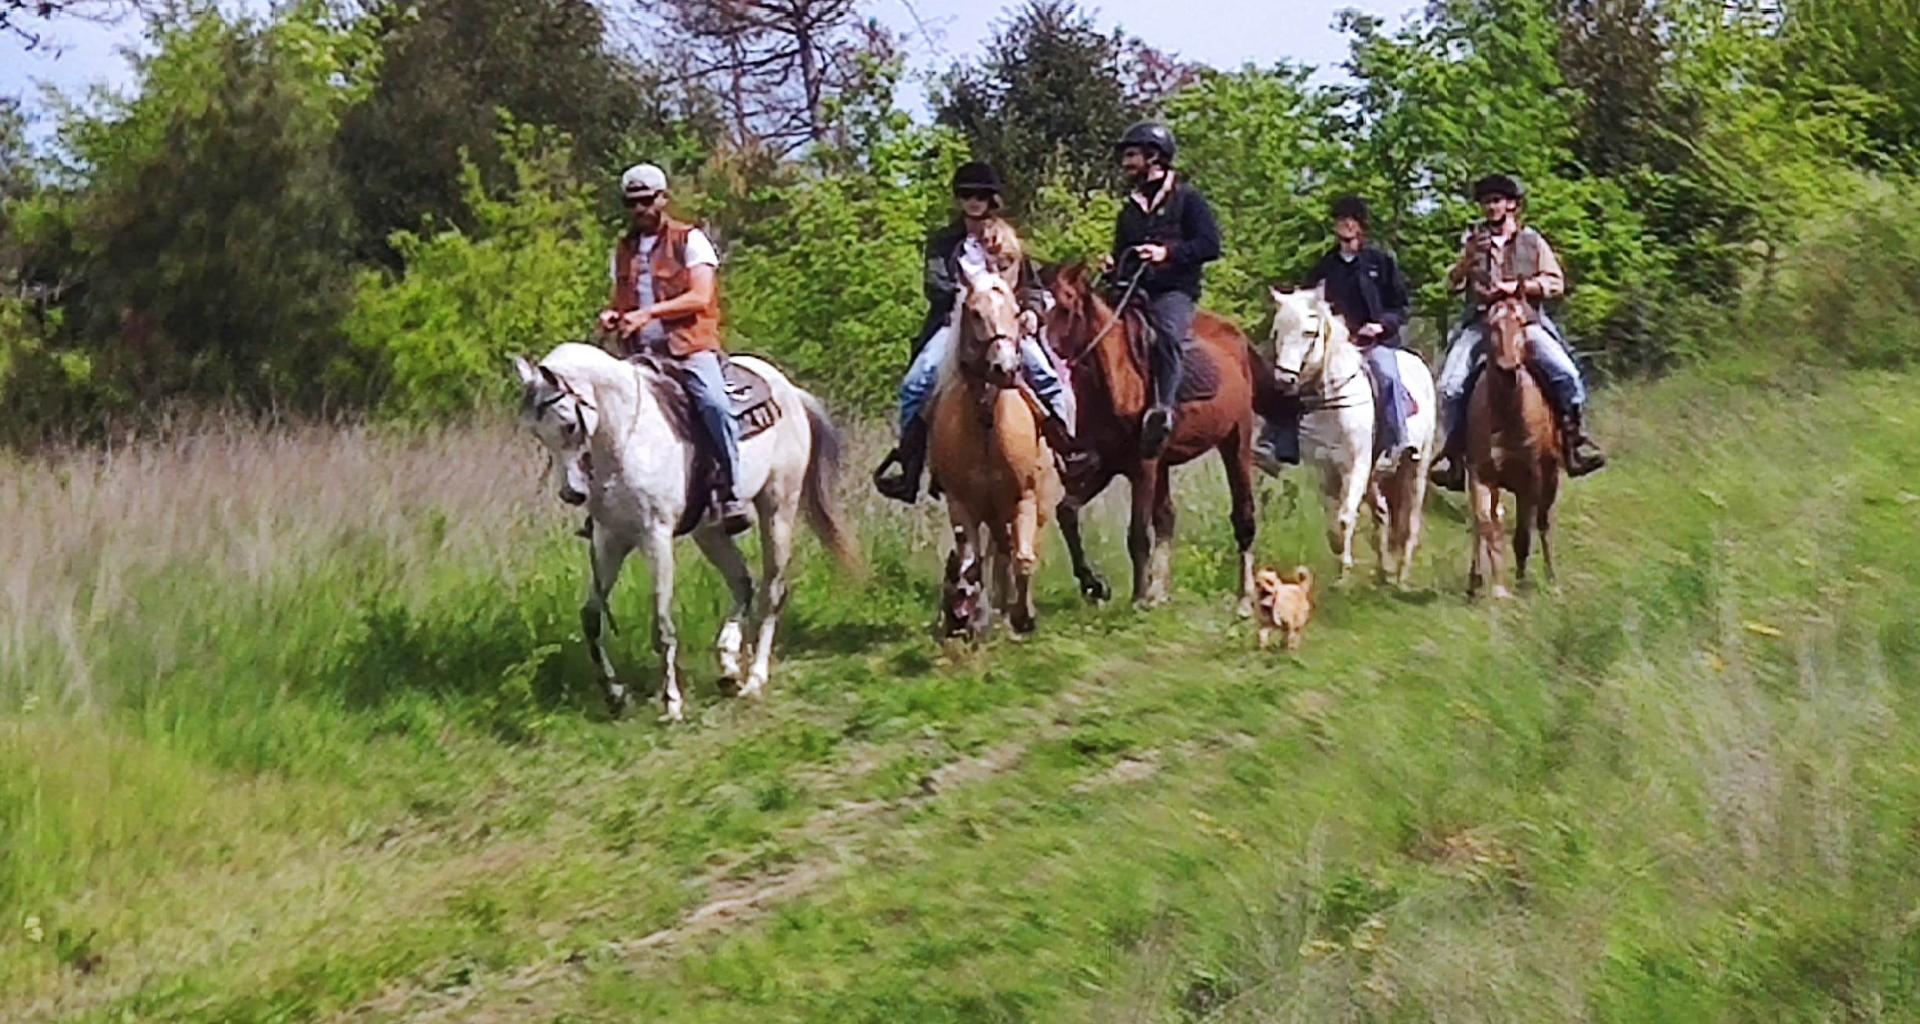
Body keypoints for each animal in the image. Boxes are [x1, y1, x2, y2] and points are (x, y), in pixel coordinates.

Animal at [512, 343, 859, 721]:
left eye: (569, 424)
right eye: (536, 432)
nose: (571, 493)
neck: (625, 436)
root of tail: (790, 391)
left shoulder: (656, 537)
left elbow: (662, 624)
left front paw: (672, 702)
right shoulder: (609, 539)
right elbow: (591, 618)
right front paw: (615, 694)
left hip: (778, 509)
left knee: (772, 590)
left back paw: (754, 679)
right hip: (709, 532)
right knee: (743, 583)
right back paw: (728, 665)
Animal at [928, 273, 1063, 638]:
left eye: (1016, 312)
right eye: (975, 312)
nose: (1005, 368)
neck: (988, 423)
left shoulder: (1023, 498)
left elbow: (1024, 558)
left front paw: (1024, 616)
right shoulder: (962, 504)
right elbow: (972, 563)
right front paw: (973, 617)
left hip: (1035, 504)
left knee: (1019, 550)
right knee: (996, 553)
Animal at [1042, 263, 1258, 614]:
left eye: (1066, 306)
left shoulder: (1142, 467)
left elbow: (1137, 534)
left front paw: (1138, 597)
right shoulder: (1104, 465)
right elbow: (1067, 512)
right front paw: (1095, 585)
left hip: (1235, 441)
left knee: (1244, 516)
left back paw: (1245, 598)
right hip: (1165, 463)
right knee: (1167, 516)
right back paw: (1160, 591)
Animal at [1267, 286, 1436, 586]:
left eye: (1309, 332)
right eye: (1278, 331)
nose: (1284, 380)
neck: (1333, 402)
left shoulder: (1355, 467)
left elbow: (1345, 518)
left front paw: (1344, 572)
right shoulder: (1323, 471)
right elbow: (1333, 524)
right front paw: (1340, 567)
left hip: (1416, 466)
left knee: (1410, 520)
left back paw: (1401, 573)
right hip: (1375, 476)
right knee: (1383, 513)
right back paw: (1384, 569)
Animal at [1464, 295, 1562, 599]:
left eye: (1522, 322)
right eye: (1491, 325)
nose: (1508, 369)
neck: (1506, 412)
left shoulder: (1531, 480)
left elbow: (1522, 535)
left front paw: (1521, 583)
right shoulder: (1481, 475)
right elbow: (1487, 525)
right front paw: (1497, 588)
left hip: (1551, 479)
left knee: (1542, 522)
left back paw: (1552, 580)